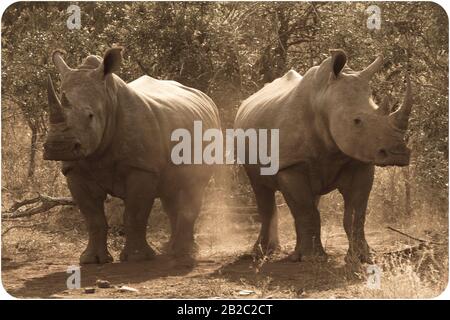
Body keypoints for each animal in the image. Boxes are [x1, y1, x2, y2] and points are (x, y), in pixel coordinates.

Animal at [43, 47, 220, 262]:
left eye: (90, 116)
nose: (58, 147)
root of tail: (205, 97)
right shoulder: (75, 169)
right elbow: (92, 217)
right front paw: (91, 260)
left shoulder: (142, 167)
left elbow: (135, 213)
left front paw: (137, 258)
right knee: (171, 193)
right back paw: (170, 248)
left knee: (193, 187)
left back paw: (183, 252)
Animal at [236, 50, 414, 264]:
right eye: (356, 121)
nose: (398, 153)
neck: (324, 101)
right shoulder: (291, 164)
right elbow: (306, 211)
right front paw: (313, 258)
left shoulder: (359, 159)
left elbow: (356, 213)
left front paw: (361, 257)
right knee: (262, 190)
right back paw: (263, 253)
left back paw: (292, 253)